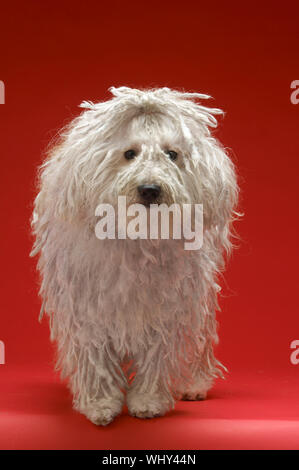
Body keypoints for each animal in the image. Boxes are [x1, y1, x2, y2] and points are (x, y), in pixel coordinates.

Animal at [31, 87, 239, 426]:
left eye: (172, 154)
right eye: (130, 153)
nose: (150, 189)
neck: (138, 238)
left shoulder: (167, 307)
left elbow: (158, 354)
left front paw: (148, 400)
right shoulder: (87, 308)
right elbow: (95, 356)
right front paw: (100, 403)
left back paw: (195, 383)